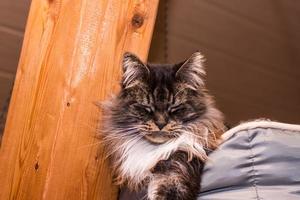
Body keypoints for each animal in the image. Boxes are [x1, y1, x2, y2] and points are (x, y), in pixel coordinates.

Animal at [101, 52, 225, 200]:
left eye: (175, 108)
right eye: (146, 108)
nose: (160, 124)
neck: (155, 149)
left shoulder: (186, 155)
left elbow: (173, 179)